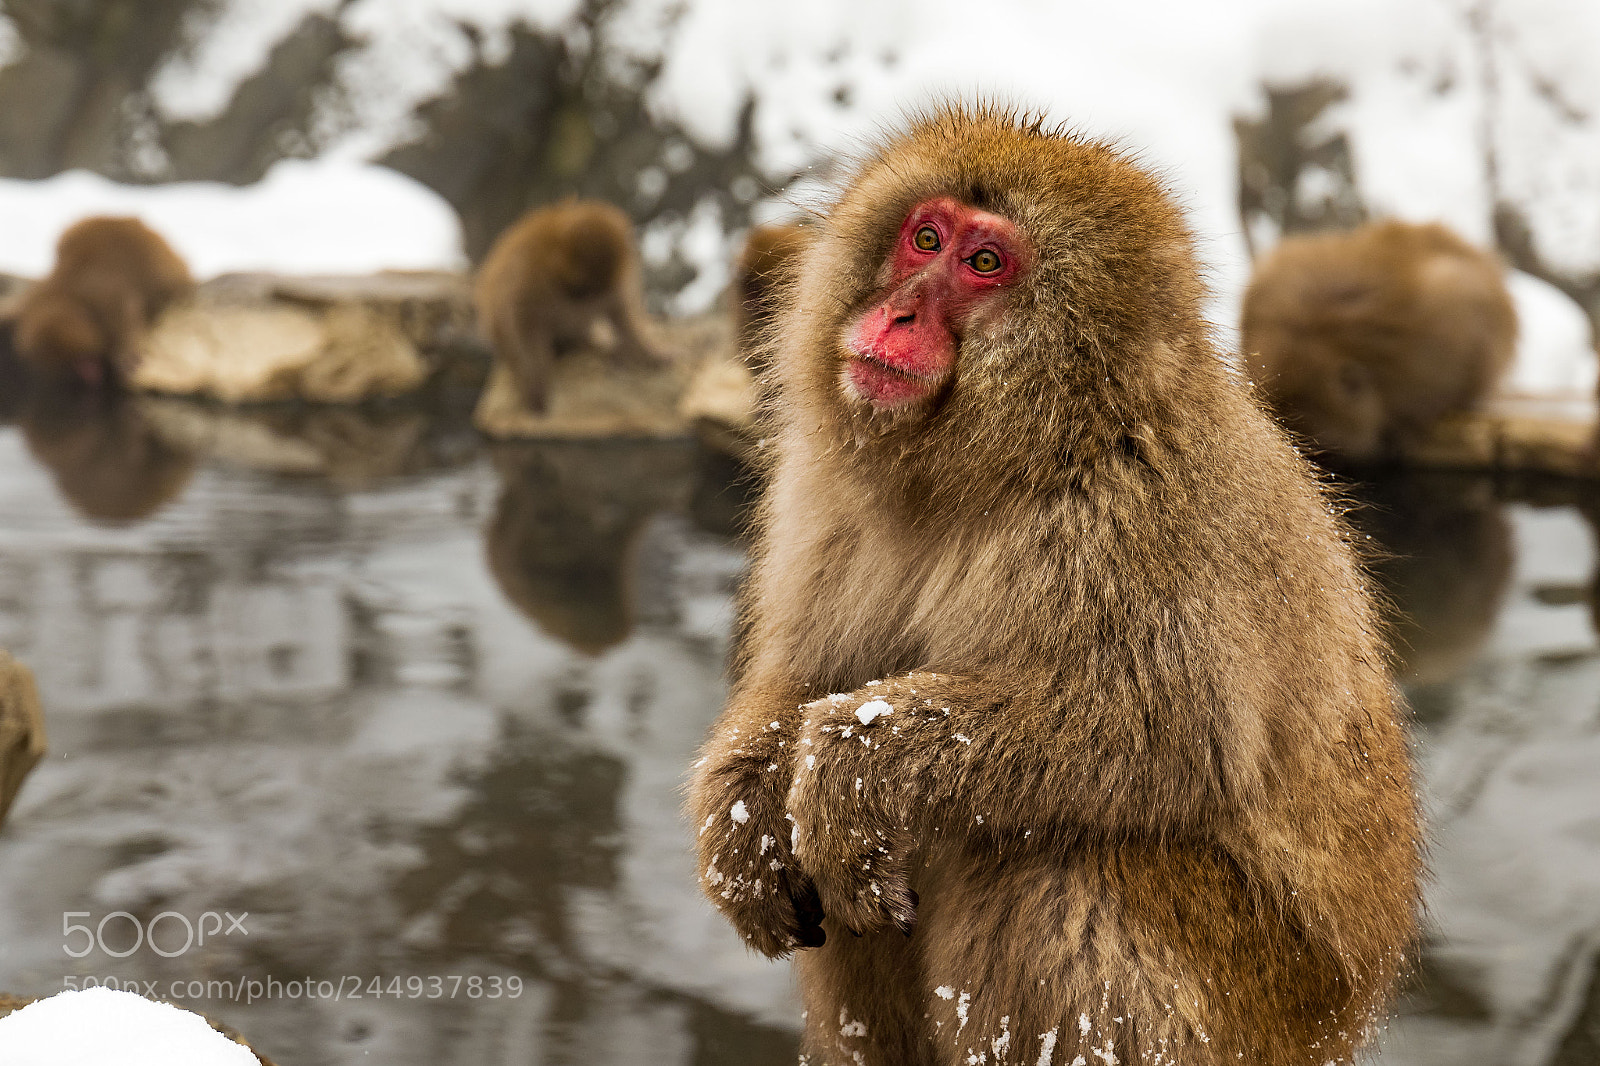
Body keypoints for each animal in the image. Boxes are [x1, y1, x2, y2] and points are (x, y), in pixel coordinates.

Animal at [11, 216, 194, 387]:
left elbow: (127, 313)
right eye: (75, 362)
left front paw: (126, 352)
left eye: (83, 358)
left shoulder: (107, 299)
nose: (90, 374)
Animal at [474, 199, 662, 414]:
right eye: (580, 287)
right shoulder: (527, 278)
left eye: (588, 291)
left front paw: (645, 351)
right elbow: (523, 326)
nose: (584, 299)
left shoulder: (615, 285)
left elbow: (622, 315)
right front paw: (536, 388)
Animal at [687, 106, 1421, 1066]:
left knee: (1055, 863)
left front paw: (853, 766)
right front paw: (741, 817)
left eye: (983, 264)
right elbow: (808, 675)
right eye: (925, 238)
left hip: (1261, 1003)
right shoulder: (826, 492)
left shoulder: (1136, 518)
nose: (897, 311)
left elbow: (1164, 734)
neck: (1017, 460)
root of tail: (1343, 1016)